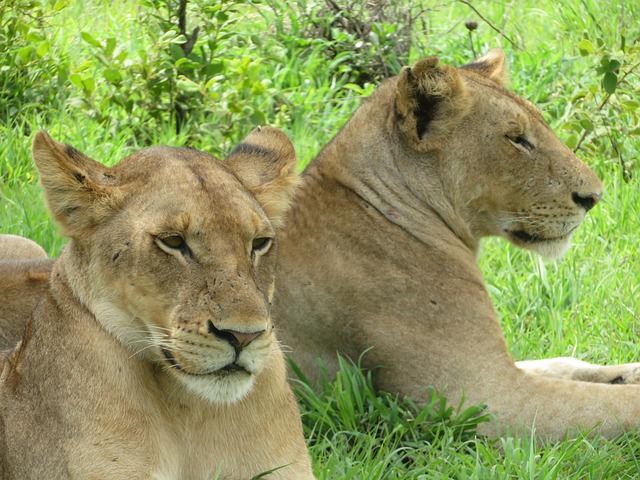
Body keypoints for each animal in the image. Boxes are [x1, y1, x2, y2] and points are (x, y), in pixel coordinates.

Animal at [272, 49, 640, 439]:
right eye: (516, 138)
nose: (594, 197)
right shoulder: (479, 397)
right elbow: (612, 402)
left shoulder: (498, 366)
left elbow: (560, 363)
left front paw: (628, 372)